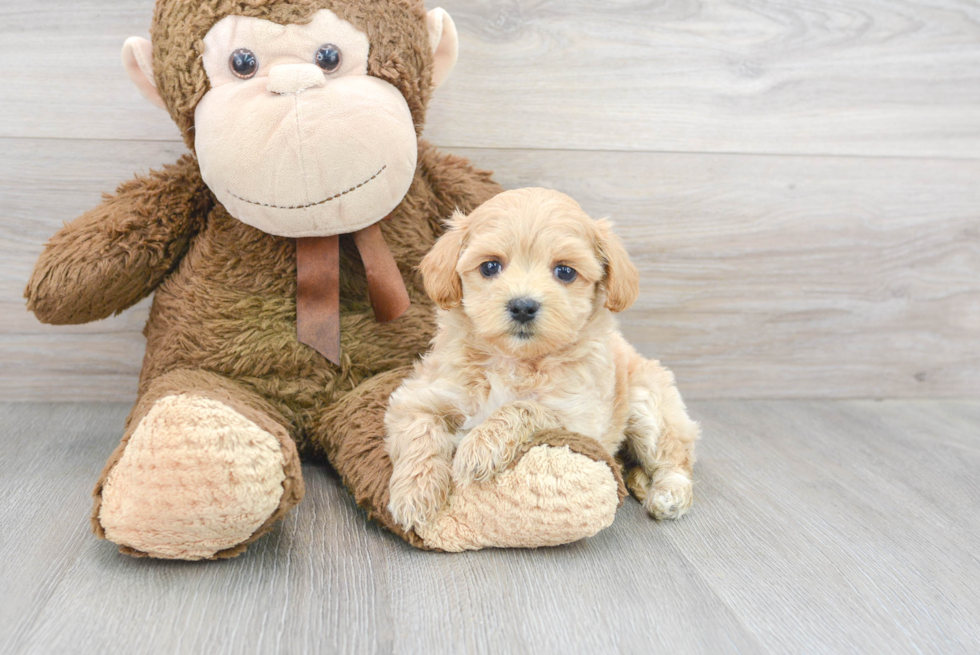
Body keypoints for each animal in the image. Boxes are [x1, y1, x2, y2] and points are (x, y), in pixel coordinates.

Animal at [382, 188, 696, 532]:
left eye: (565, 271)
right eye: (489, 267)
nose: (522, 306)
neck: (513, 361)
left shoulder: (580, 419)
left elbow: (524, 407)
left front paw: (479, 446)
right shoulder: (420, 395)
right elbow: (419, 432)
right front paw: (415, 495)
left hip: (649, 406)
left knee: (676, 458)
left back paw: (668, 495)